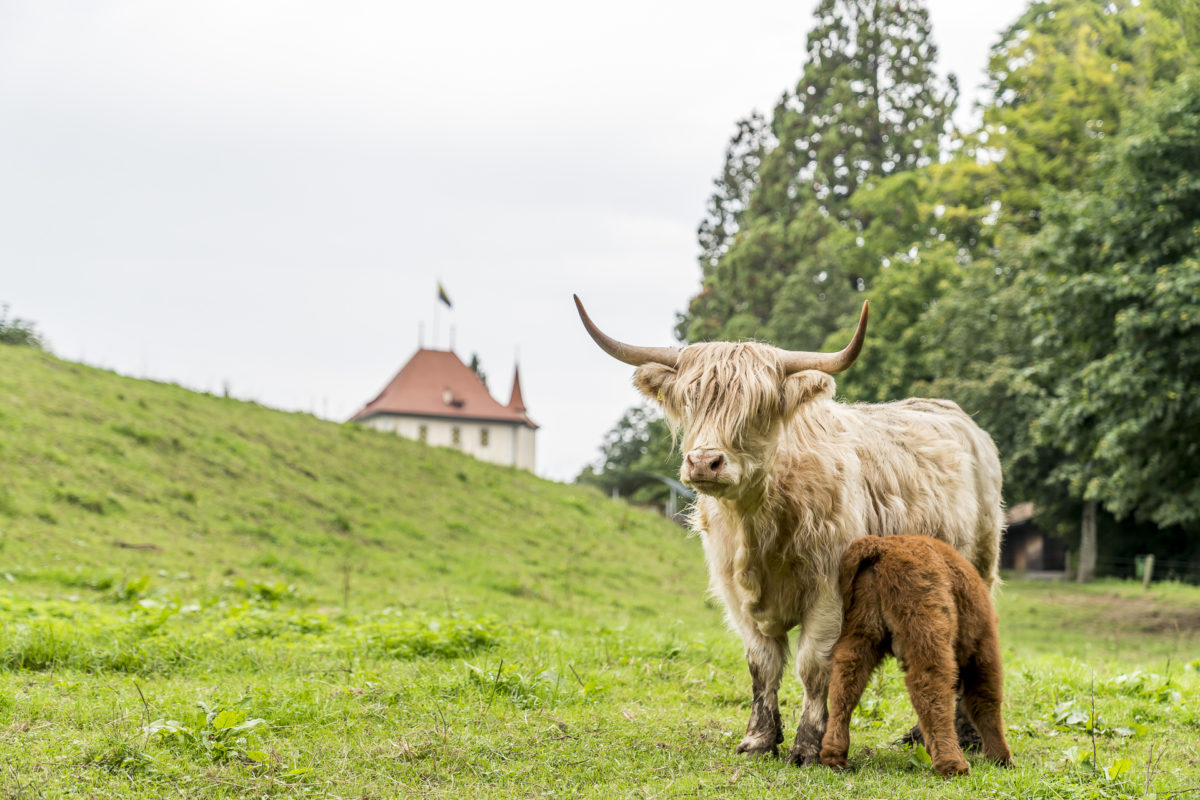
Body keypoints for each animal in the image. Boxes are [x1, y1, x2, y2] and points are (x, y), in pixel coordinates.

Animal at [816, 534, 1012, 777]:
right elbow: (986, 699)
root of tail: (882, 546)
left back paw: (833, 755)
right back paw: (953, 765)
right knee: (930, 686)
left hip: (860, 633)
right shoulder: (983, 649)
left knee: (845, 684)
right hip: (928, 633)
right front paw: (1001, 757)